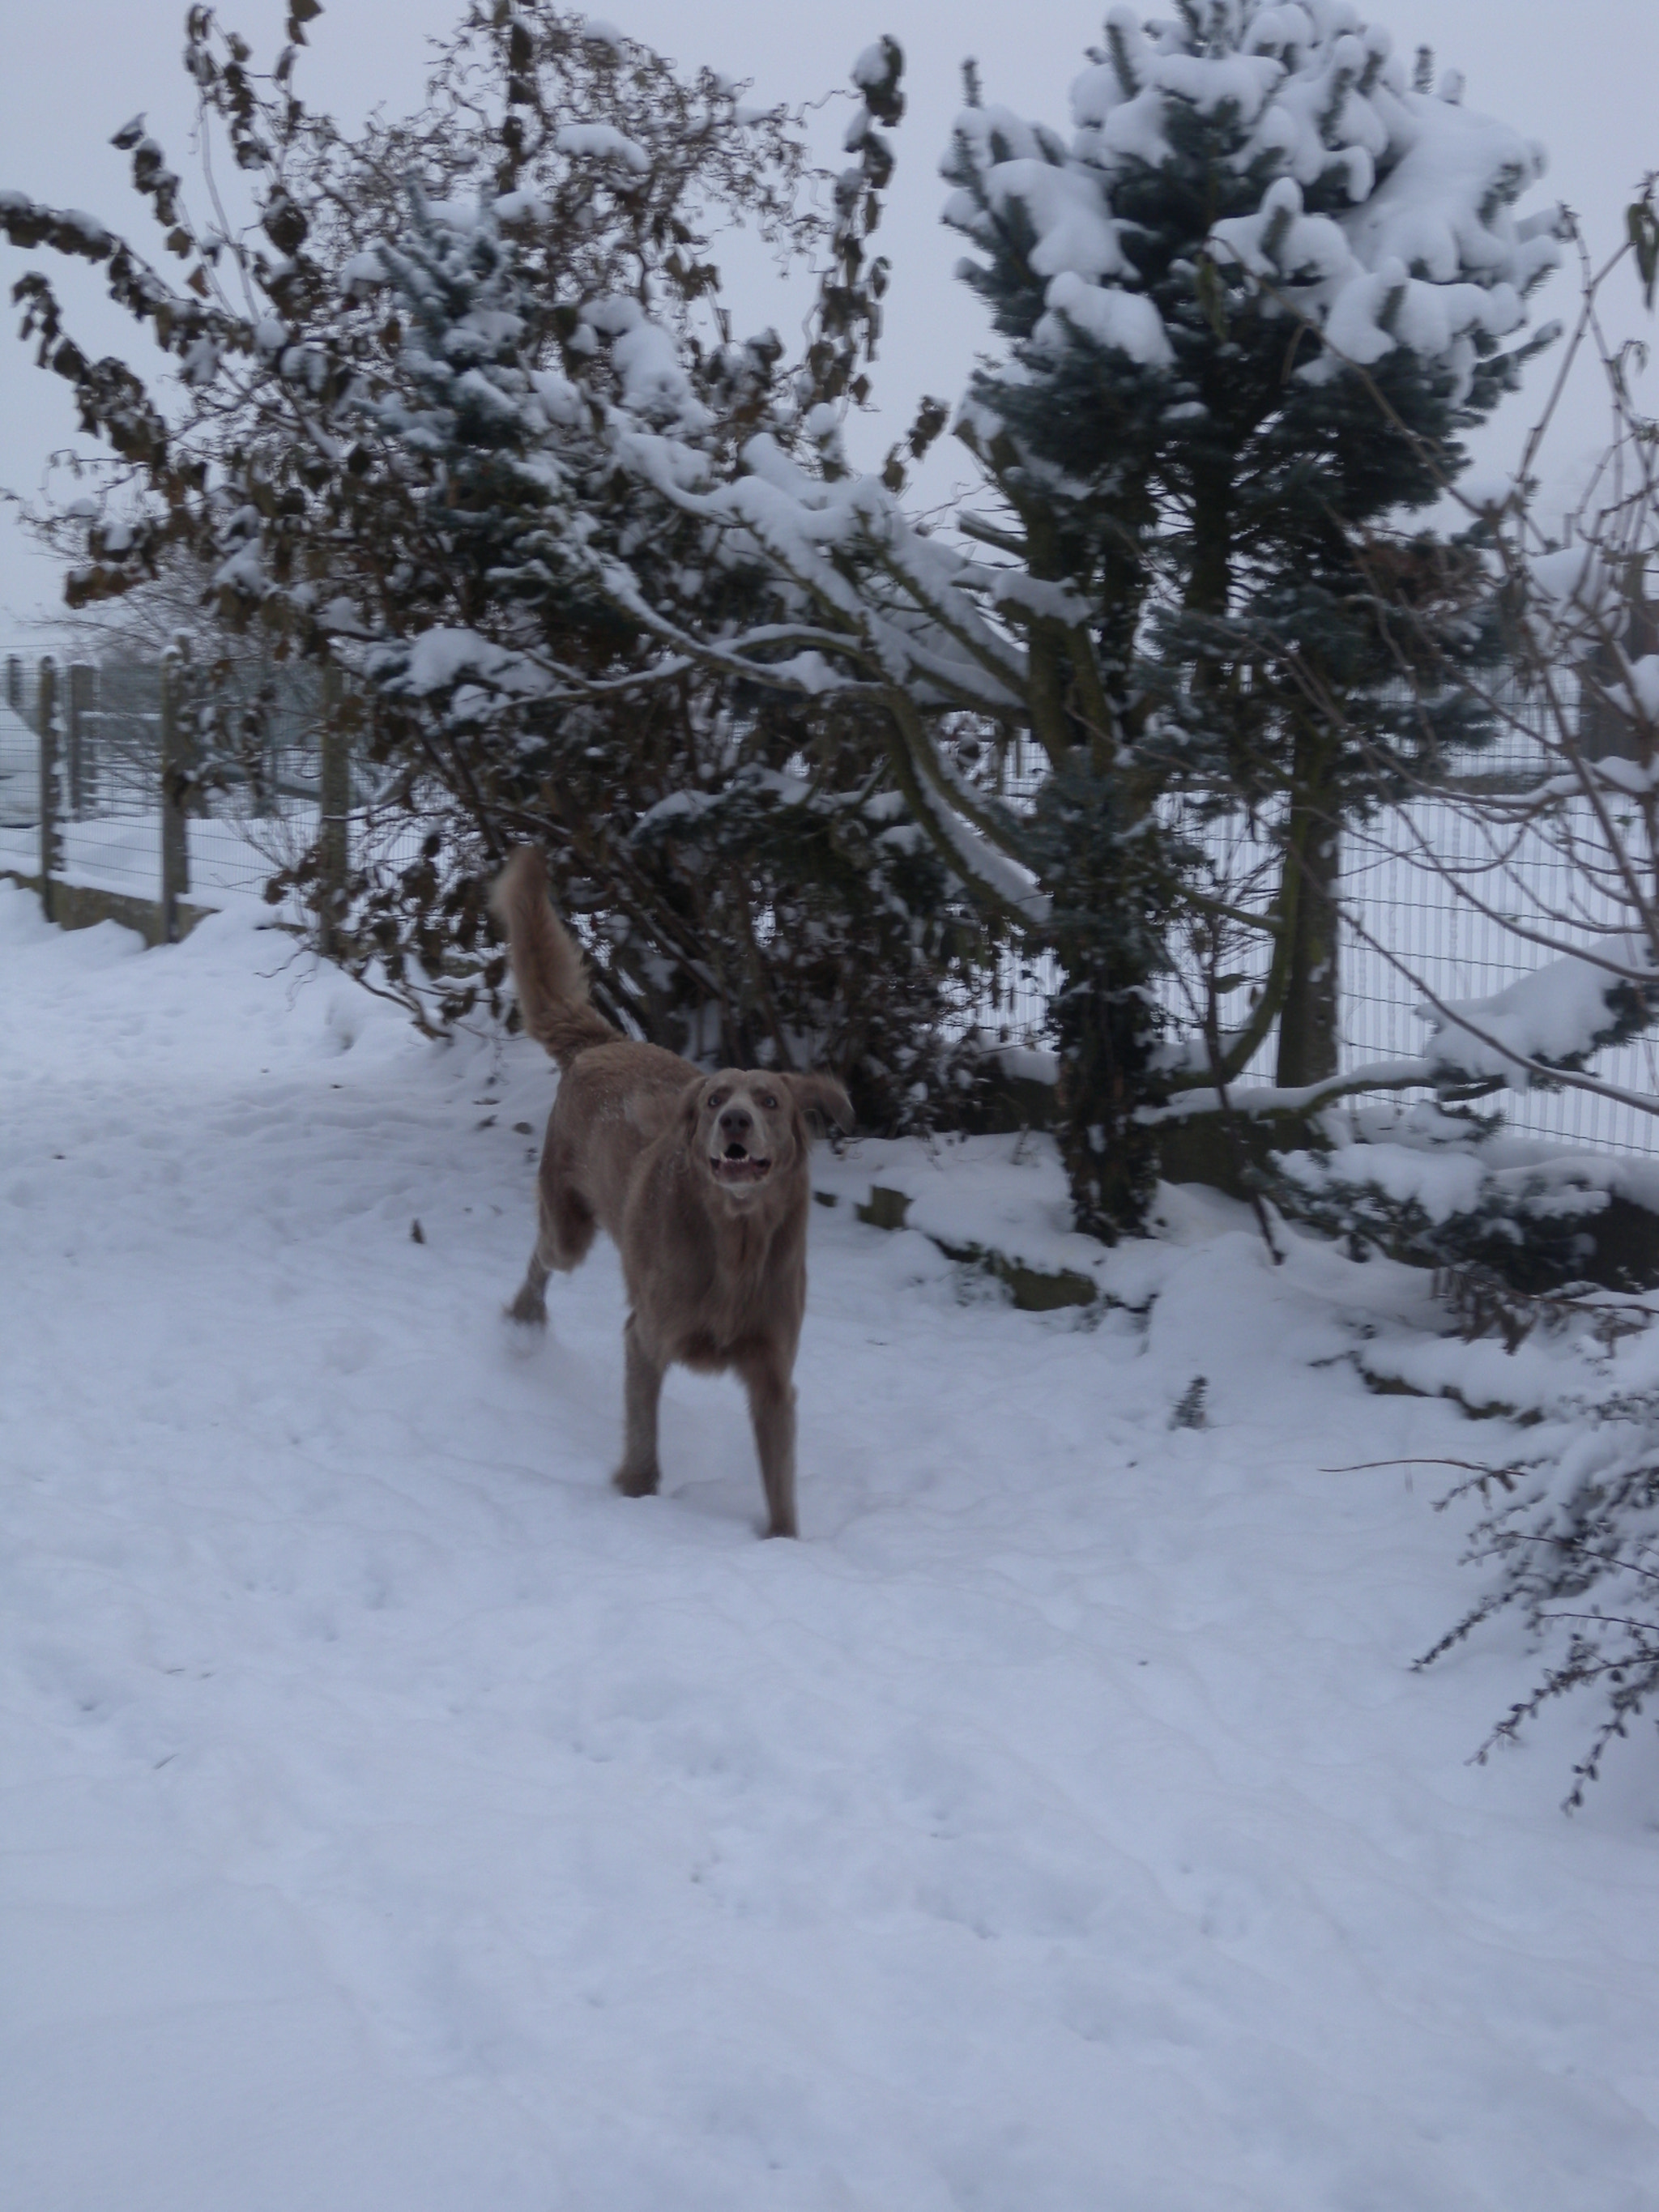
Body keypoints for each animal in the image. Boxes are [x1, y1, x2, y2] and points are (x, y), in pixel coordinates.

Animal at [491, 845, 858, 1539]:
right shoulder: (648, 1336)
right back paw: (523, 1317)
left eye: (769, 1099)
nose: (734, 1120)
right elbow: (643, 1439)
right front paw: (636, 1493)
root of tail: (604, 1041)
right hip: (570, 1225)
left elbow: (780, 1480)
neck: (736, 1242)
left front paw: (782, 1540)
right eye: (715, 1099)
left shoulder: (773, 1371)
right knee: (542, 1255)